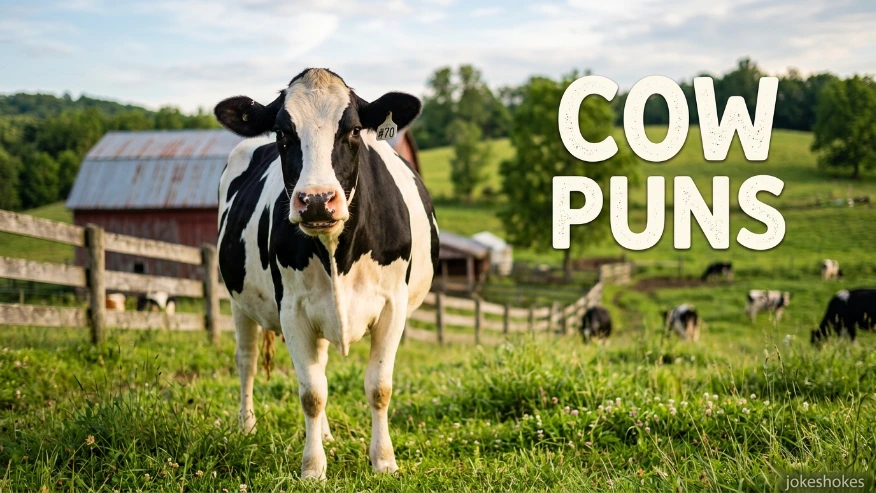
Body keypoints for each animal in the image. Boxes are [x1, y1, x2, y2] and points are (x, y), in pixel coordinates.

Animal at [213, 68, 438, 480]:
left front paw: (384, 460)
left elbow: (379, 386)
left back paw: (328, 434)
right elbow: (312, 393)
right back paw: (247, 426)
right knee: (247, 359)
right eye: (282, 132)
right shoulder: (292, 309)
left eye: (353, 130)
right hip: (238, 300)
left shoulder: (393, 306)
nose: (316, 200)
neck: (337, 254)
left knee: (320, 364)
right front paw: (313, 468)